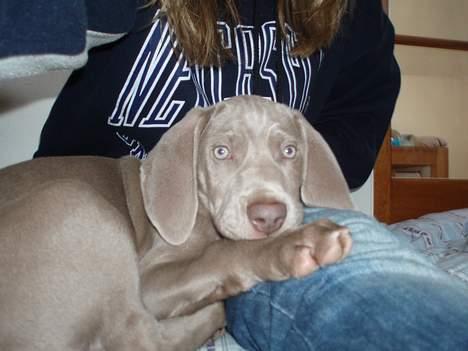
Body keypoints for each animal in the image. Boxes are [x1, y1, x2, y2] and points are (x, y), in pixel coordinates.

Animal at [0, 96, 352, 351]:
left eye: (290, 151)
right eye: (221, 152)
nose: (269, 216)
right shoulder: (149, 278)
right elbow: (221, 252)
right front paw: (298, 244)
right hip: (74, 200)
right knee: (139, 337)